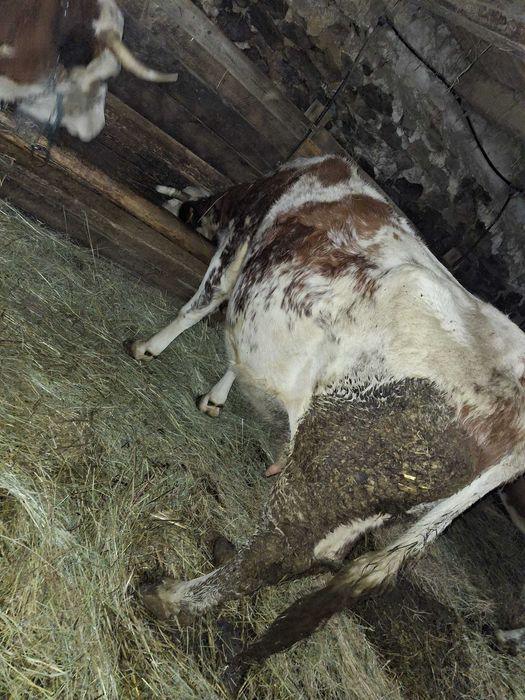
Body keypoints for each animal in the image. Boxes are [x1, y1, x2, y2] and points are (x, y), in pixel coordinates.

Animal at [129, 155, 525, 689]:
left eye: (185, 197)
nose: (163, 193)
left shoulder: (237, 250)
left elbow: (204, 304)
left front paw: (150, 347)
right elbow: (241, 355)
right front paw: (216, 397)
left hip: (329, 470)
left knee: (276, 552)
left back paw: (171, 598)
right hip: (377, 505)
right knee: (318, 558)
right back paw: (220, 557)